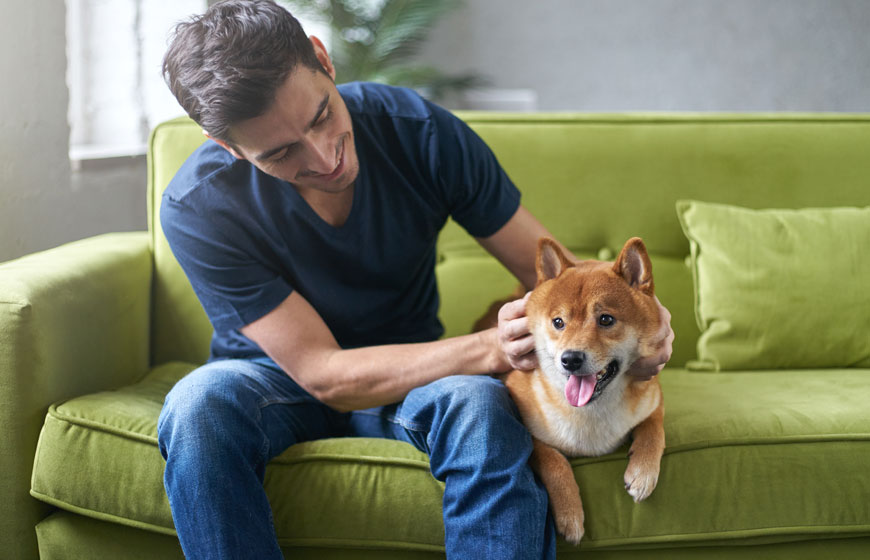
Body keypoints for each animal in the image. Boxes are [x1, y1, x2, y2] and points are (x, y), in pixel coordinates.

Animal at [476, 236, 668, 544]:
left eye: (606, 319)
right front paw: (570, 514)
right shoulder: (526, 429)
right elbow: (553, 459)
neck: (590, 415)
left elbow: (654, 430)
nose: (570, 359)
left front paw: (643, 472)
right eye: (558, 322)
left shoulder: (654, 399)